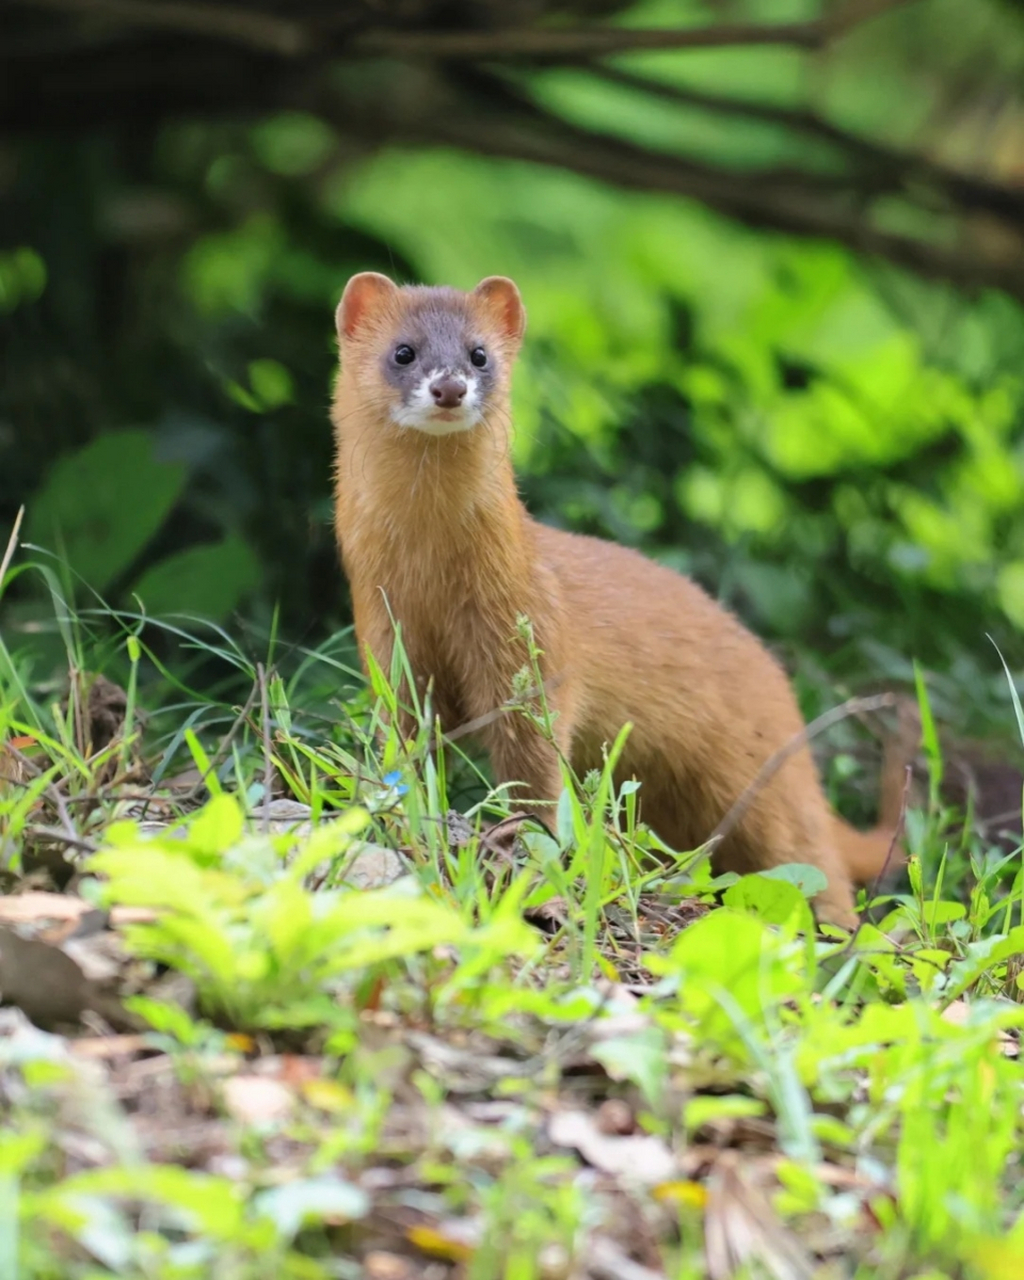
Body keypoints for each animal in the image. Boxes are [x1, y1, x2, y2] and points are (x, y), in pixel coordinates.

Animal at [332, 272, 901, 931]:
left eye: (479, 354)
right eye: (403, 351)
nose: (450, 386)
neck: (432, 582)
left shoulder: (532, 646)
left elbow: (534, 762)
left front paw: (528, 846)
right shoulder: (383, 631)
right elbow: (402, 739)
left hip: (767, 785)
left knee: (813, 859)